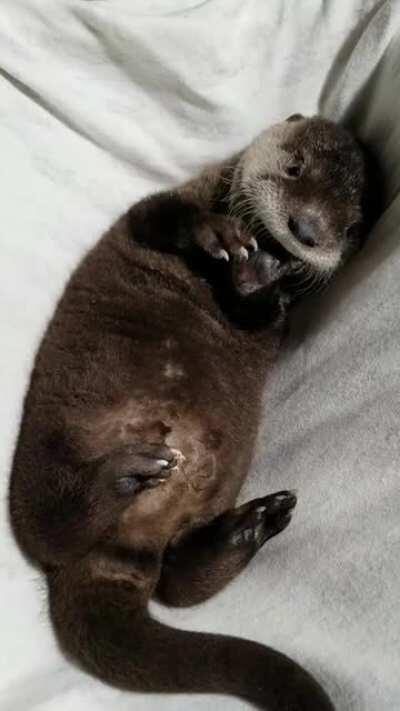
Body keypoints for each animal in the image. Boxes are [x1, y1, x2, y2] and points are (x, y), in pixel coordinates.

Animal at [9, 116, 376, 710]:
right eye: (294, 168)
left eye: (351, 225)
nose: (305, 228)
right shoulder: (163, 205)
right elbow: (159, 218)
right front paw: (221, 237)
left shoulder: (280, 315)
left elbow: (260, 314)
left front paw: (256, 278)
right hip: (48, 453)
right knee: (47, 533)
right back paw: (128, 474)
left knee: (177, 582)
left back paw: (253, 522)